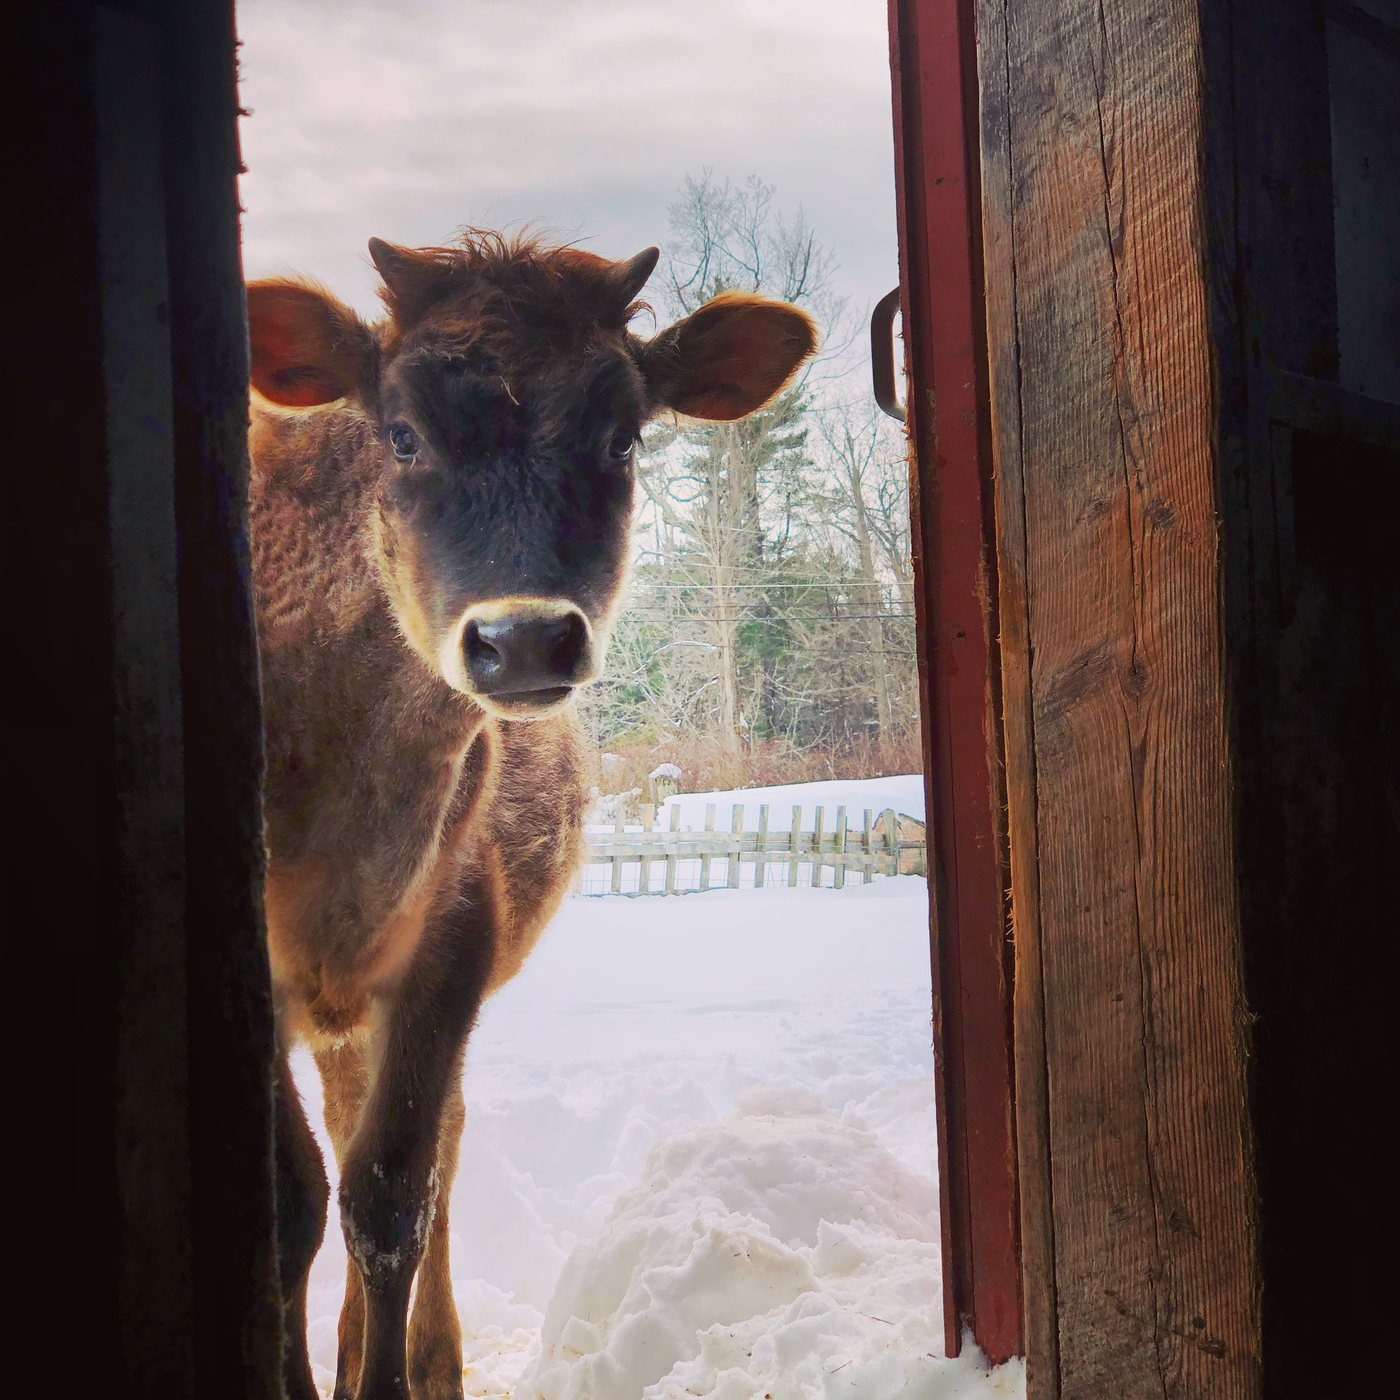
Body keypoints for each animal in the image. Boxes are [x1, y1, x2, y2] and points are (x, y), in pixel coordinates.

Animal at [245, 231, 817, 1400]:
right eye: (401, 431)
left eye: (623, 433)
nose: (519, 639)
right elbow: (288, 1201)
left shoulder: (451, 939)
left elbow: (390, 1193)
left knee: (431, 1145)